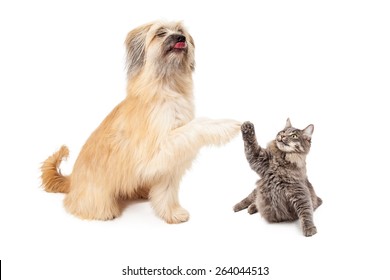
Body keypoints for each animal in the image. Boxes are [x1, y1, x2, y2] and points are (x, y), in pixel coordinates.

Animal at [40, 20, 241, 223]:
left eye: (180, 31)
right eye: (160, 33)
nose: (180, 38)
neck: (167, 86)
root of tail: (72, 180)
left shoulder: (170, 161)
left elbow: (167, 189)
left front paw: (172, 213)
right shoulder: (159, 148)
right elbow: (197, 125)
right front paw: (227, 125)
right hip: (96, 190)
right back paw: (101, 211)